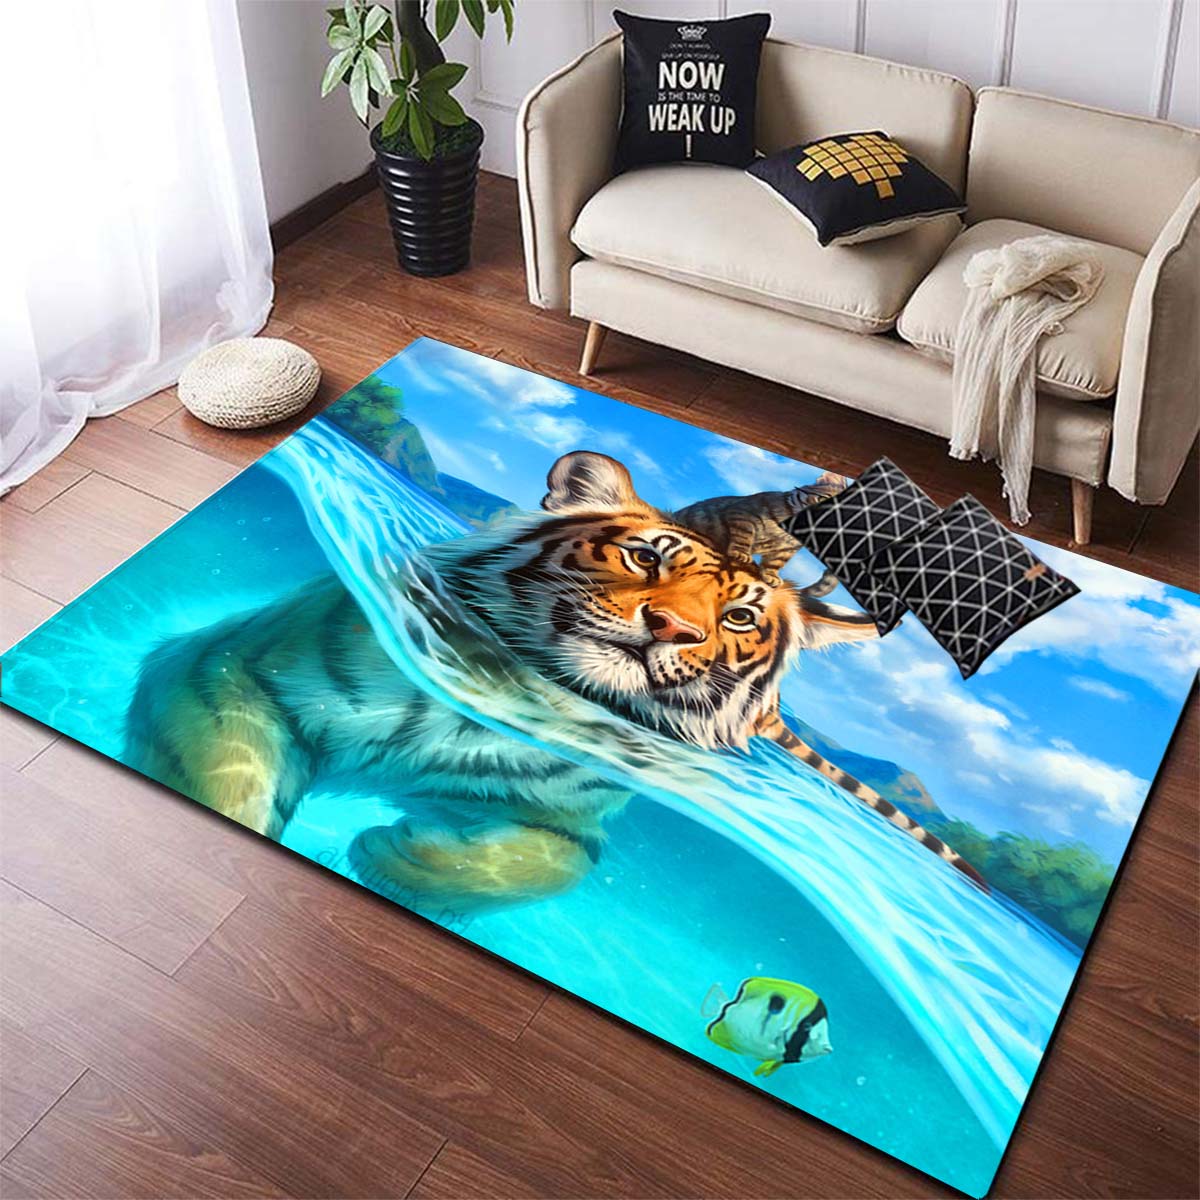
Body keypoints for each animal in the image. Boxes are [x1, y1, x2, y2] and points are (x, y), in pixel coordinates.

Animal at [124, 450, 984, 912]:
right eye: (647, 557)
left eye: (739, 616)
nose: (671, 629)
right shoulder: (224, 668)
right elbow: (226, 781)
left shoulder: (571, 824)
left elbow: (534, 868)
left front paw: (391, 857)